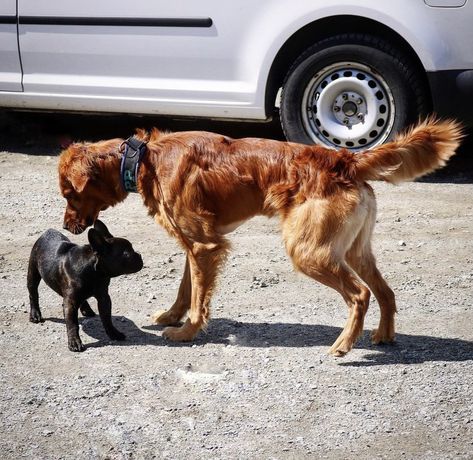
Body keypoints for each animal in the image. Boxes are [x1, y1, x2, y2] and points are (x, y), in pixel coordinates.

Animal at [26, 221, 142, 350]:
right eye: (127, 254)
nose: (139, 255)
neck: (93, 271)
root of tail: (47, 232)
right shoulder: (70, 303)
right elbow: (72, 323)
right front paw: (74, 342)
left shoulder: (104, 297)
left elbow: (107, 318)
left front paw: (113, 333)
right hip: (33, 273)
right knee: (33, 294)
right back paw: (35, 314)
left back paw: (87, 309)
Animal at [58, 117, 460, 356]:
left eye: (68, 194)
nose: (67, 227)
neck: (145, 159)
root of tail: (345, 160)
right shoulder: (196, 245)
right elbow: (186, 289)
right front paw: (172, 317)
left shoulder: (204, 246)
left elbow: (198, 298)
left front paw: (187, 333)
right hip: (353, 249)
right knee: (385, 292)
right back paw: (384, 335)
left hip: (308, 251)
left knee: (360, 294)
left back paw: (344, 345)